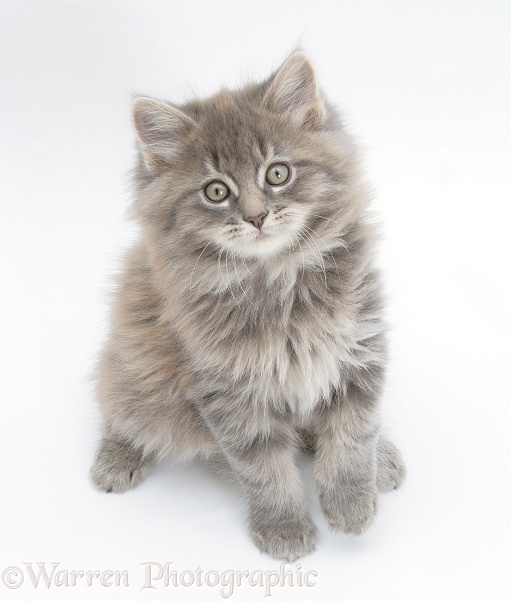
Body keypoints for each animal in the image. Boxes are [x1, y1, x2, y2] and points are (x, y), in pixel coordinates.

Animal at [90, 51, 406, 556]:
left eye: (278, 173)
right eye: (216, 191)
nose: (257, 217)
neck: (279, 280)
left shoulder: (359, 344)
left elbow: (355, 434)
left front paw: (352, 504)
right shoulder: (228, 390)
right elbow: (264, 470)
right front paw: (285, 529)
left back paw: (385, 458)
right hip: (137, 369)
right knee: (119, 406)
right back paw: (116, 457)